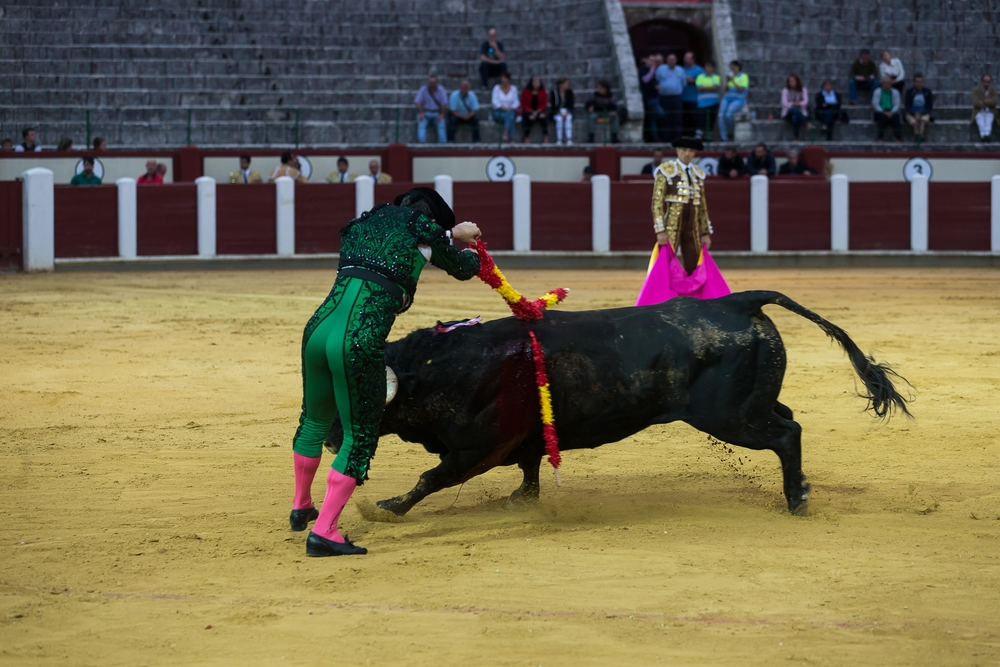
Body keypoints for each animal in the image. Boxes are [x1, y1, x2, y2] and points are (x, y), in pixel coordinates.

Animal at [326, 290, 908, 516]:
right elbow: (531, 467)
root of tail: (736, 301)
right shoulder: (521, 439)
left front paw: (388, 508)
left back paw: (796, 499)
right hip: (750, 406)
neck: (437, 368)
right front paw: (522, 499)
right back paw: (802, 487)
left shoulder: (476, 449)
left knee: (787, 434)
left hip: (730, 417)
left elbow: (433, 478)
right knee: (789, 421)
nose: (331, 437)